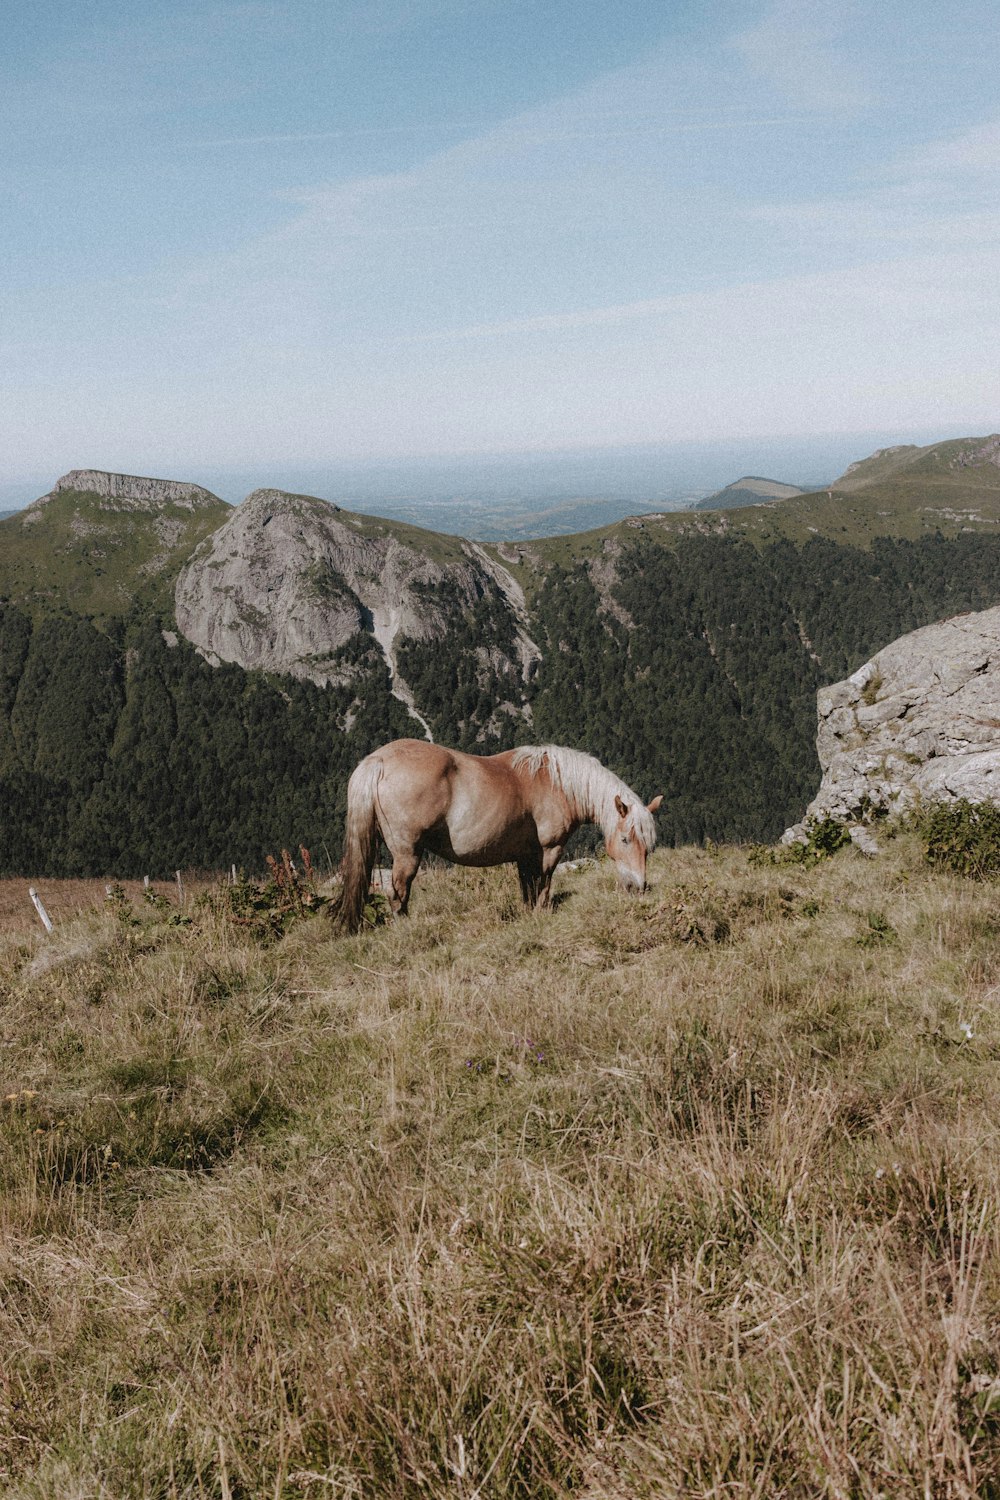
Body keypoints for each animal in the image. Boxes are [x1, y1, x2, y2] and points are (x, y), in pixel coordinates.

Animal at [335, 741, 665, 930]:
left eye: (648, 847)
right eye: (625, 840)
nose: (638, 887)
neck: (556, 782)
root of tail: (378, 760)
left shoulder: (525, 855)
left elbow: (527, 888)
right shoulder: (549, 850)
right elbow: (543, 886)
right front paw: (541, 915)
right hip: (408, 852)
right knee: (397, 892)